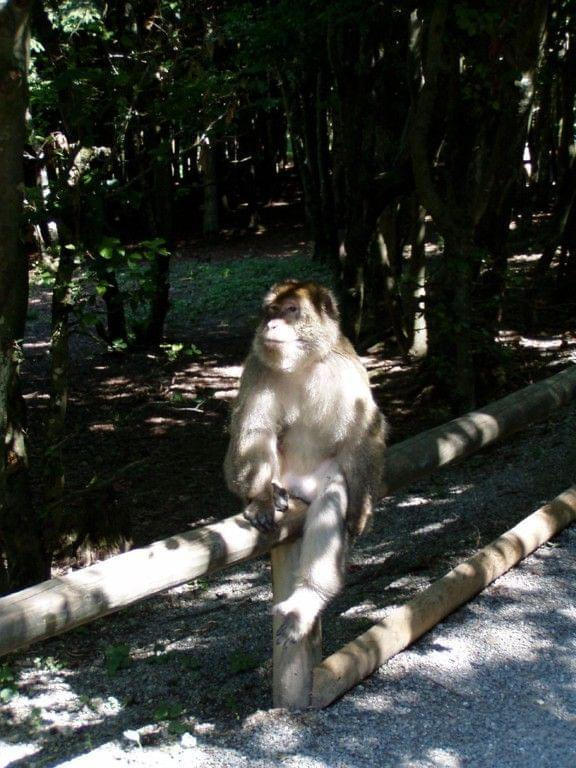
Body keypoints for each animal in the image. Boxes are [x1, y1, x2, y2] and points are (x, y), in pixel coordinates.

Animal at [225, 278, 388, 640]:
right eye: (271, 310)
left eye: (291, 310)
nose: (271, 324)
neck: (302, 363)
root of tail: (295, 486)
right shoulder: (257, 368)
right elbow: (254, 430)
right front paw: (259, 499)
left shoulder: (346, 369)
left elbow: (362, 433)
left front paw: (362, 508)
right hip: (280, 475)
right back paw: (273, 495)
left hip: (315, 480)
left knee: (332, 493)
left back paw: (307, 599)